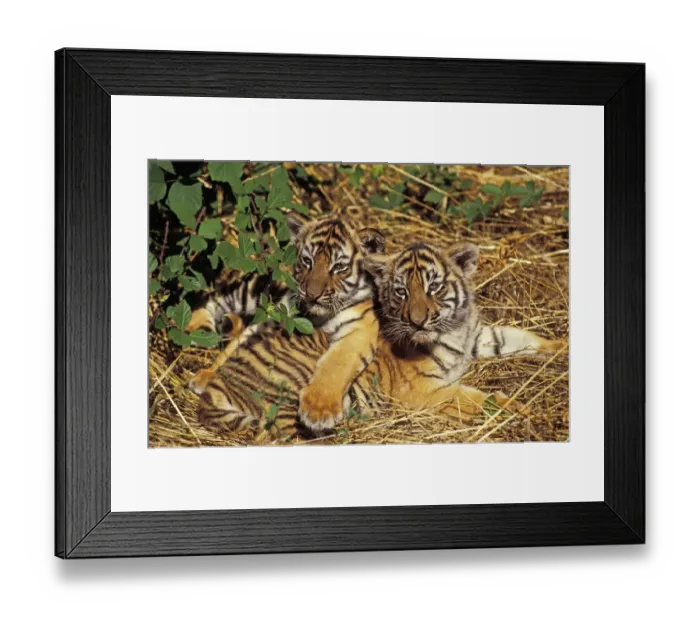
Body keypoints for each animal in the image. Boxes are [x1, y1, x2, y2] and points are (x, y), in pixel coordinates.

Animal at [194, 212, 386, 435]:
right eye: (307, 261)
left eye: (339, 267)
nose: (312, 295)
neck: (316, 315)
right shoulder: (277, 317)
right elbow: (238, 344)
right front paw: (208, 375)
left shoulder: (359, 330)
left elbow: (337, 363)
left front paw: (318, 411)